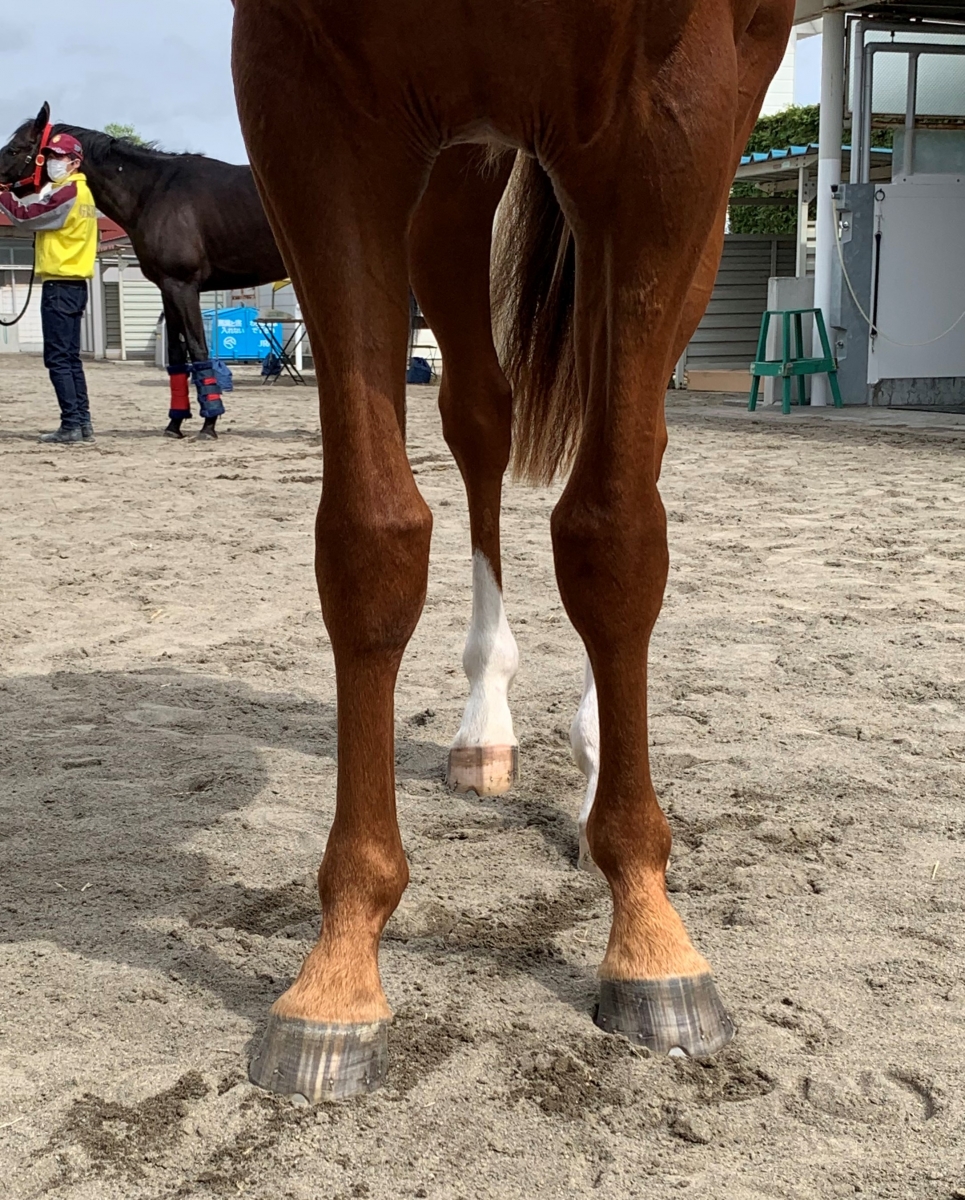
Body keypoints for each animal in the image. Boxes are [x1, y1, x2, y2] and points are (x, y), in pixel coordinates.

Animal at [0, 105, 287, 440]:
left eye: (15, 149)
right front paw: (175, 424)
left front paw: (209, 424)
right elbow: (176, 355)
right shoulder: (168, 289)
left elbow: (198, 349)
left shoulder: (183, 286)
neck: (154, 190)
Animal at [229, 0, 795, 1103]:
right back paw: (484, 724)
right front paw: (338, 971)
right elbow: (368, 537)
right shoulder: (306, 99)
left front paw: (648, 934)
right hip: (463, 168)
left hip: (672, 184)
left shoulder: (674, 119)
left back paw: (595, 759)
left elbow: (612, 535)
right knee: (480, 417)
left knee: (632, 438)